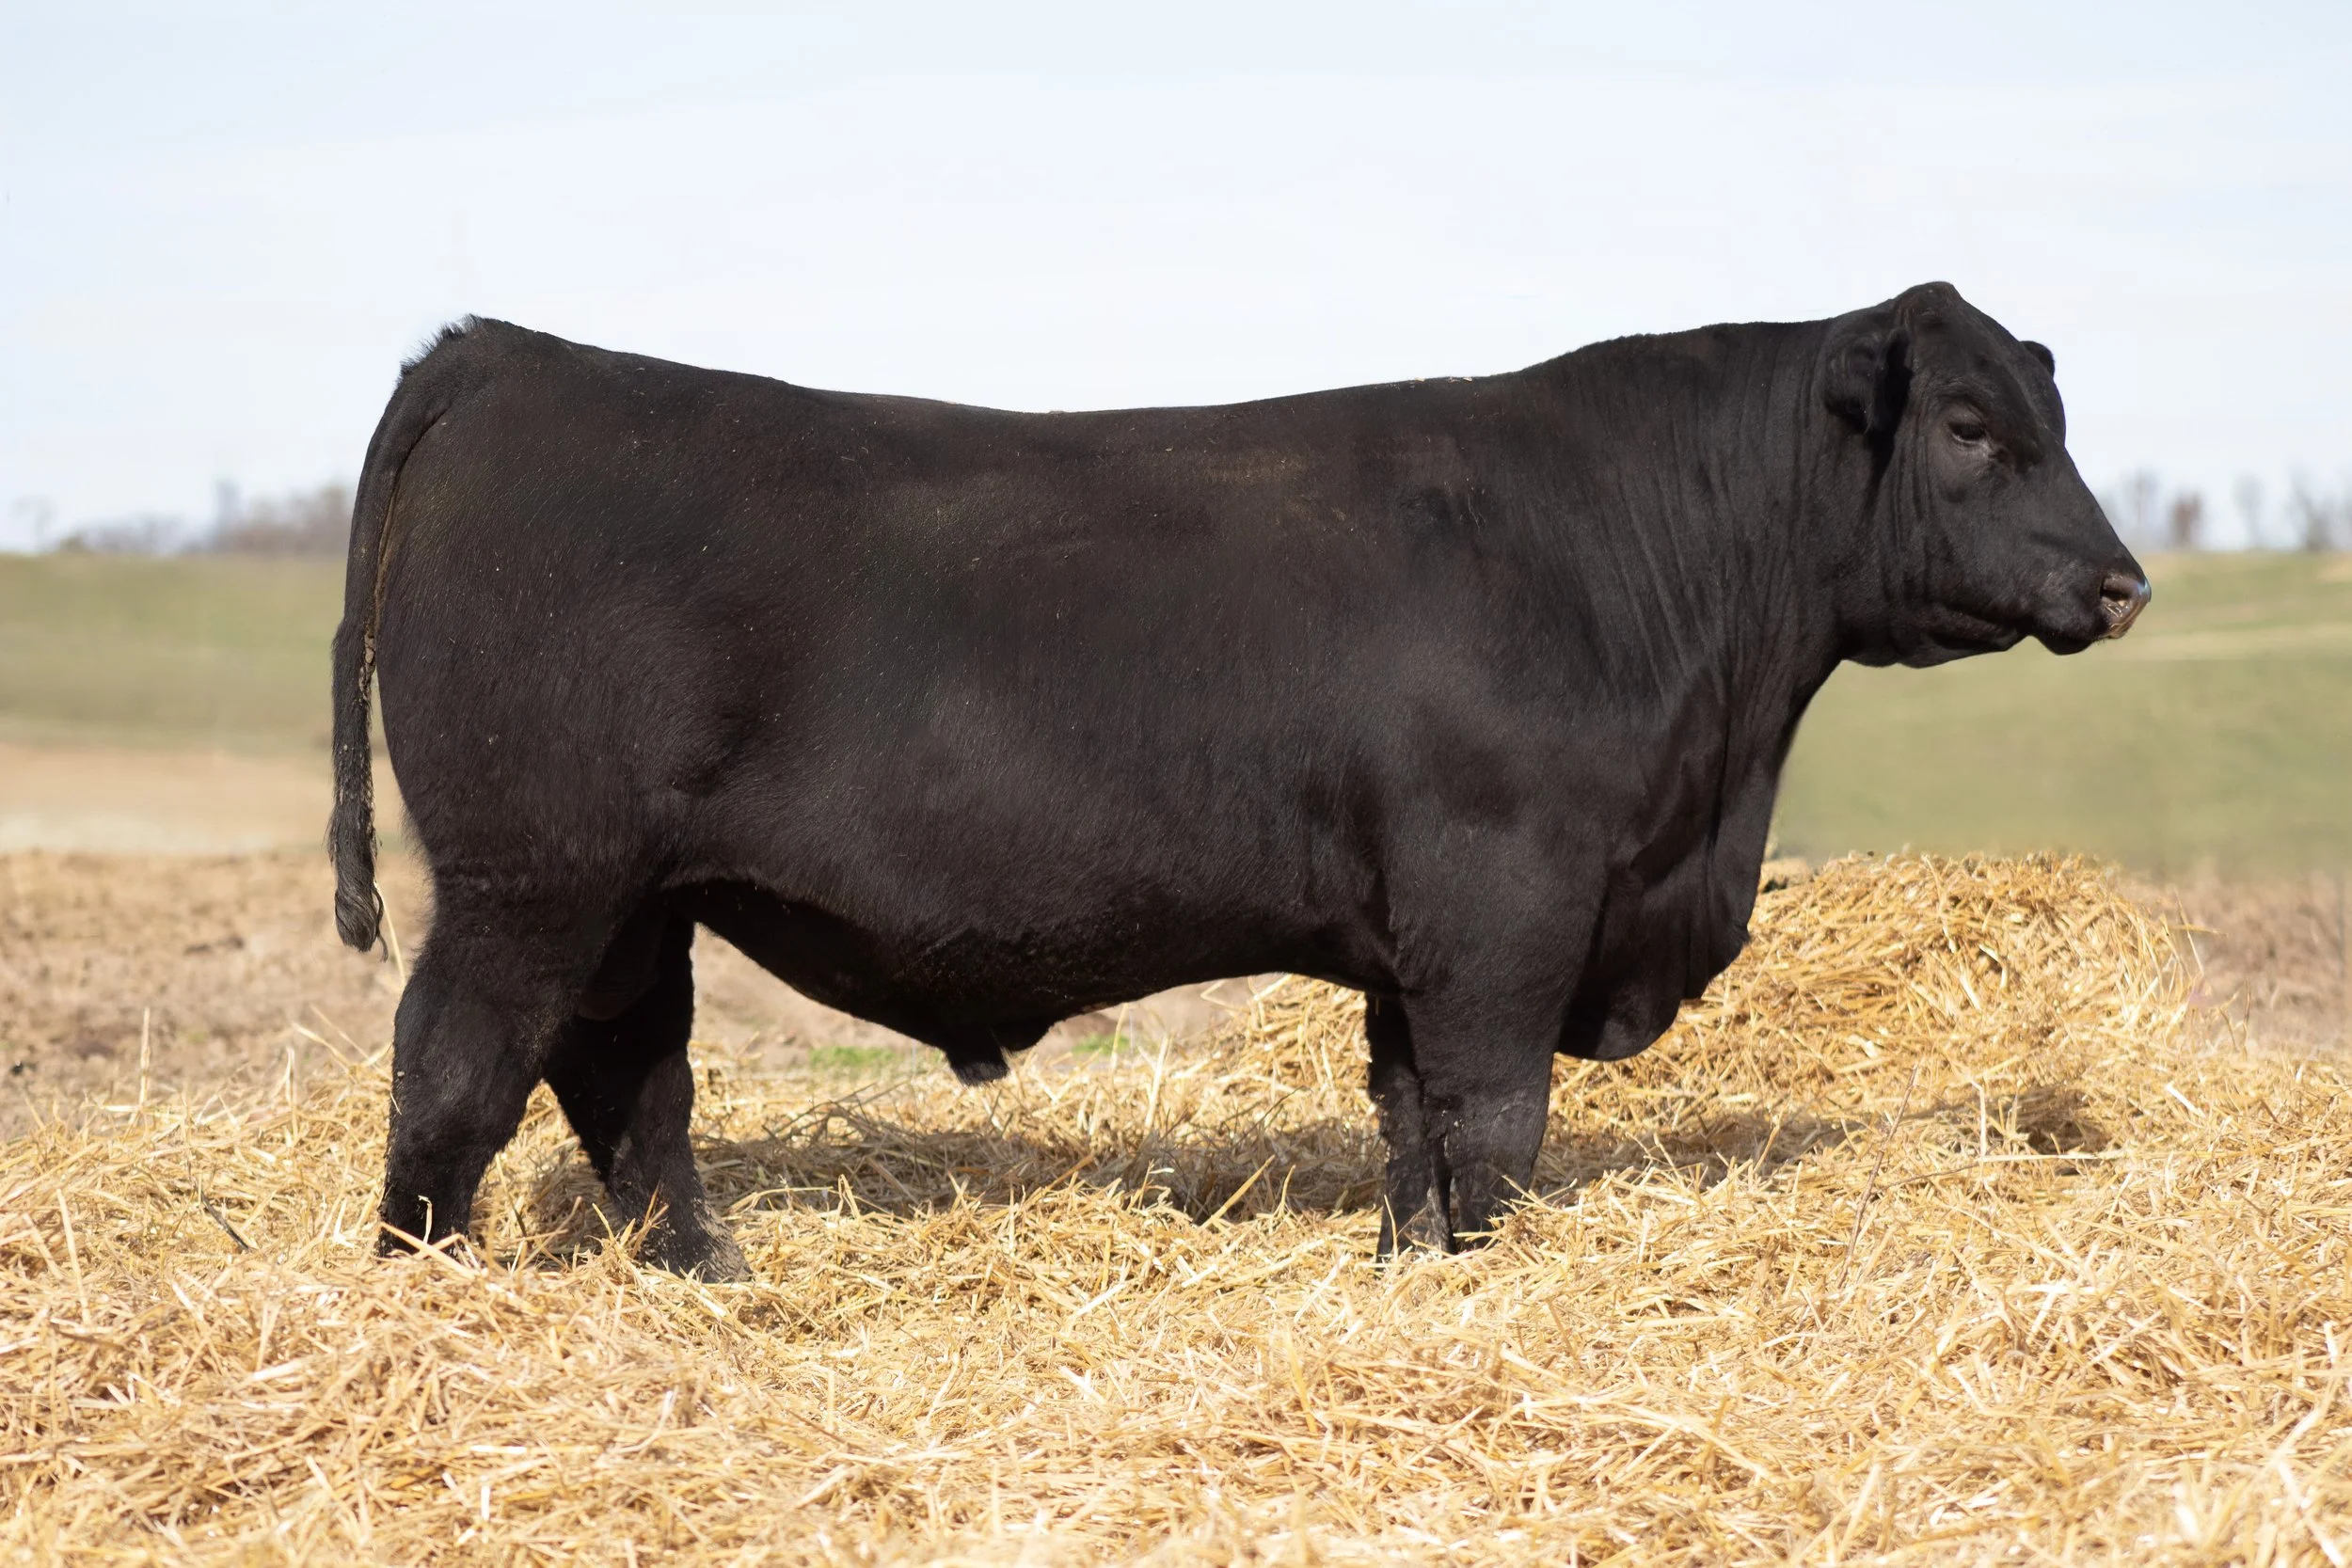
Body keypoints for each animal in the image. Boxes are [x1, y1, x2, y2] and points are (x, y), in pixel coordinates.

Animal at [330, 282, 2148, 1279]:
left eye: (2052, 410)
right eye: (1971, 424)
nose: (2123, 583)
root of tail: (502, 354)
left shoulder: (1422, 924)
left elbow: (1411, 1120)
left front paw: (1415, 1271)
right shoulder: (1506, 895)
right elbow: (1495, 1119)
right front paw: (1489, 1273)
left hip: (634, 900)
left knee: (629, 1083)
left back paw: (710, 1276)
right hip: (528, 877)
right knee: (455, 1072)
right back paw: (429, 1293)